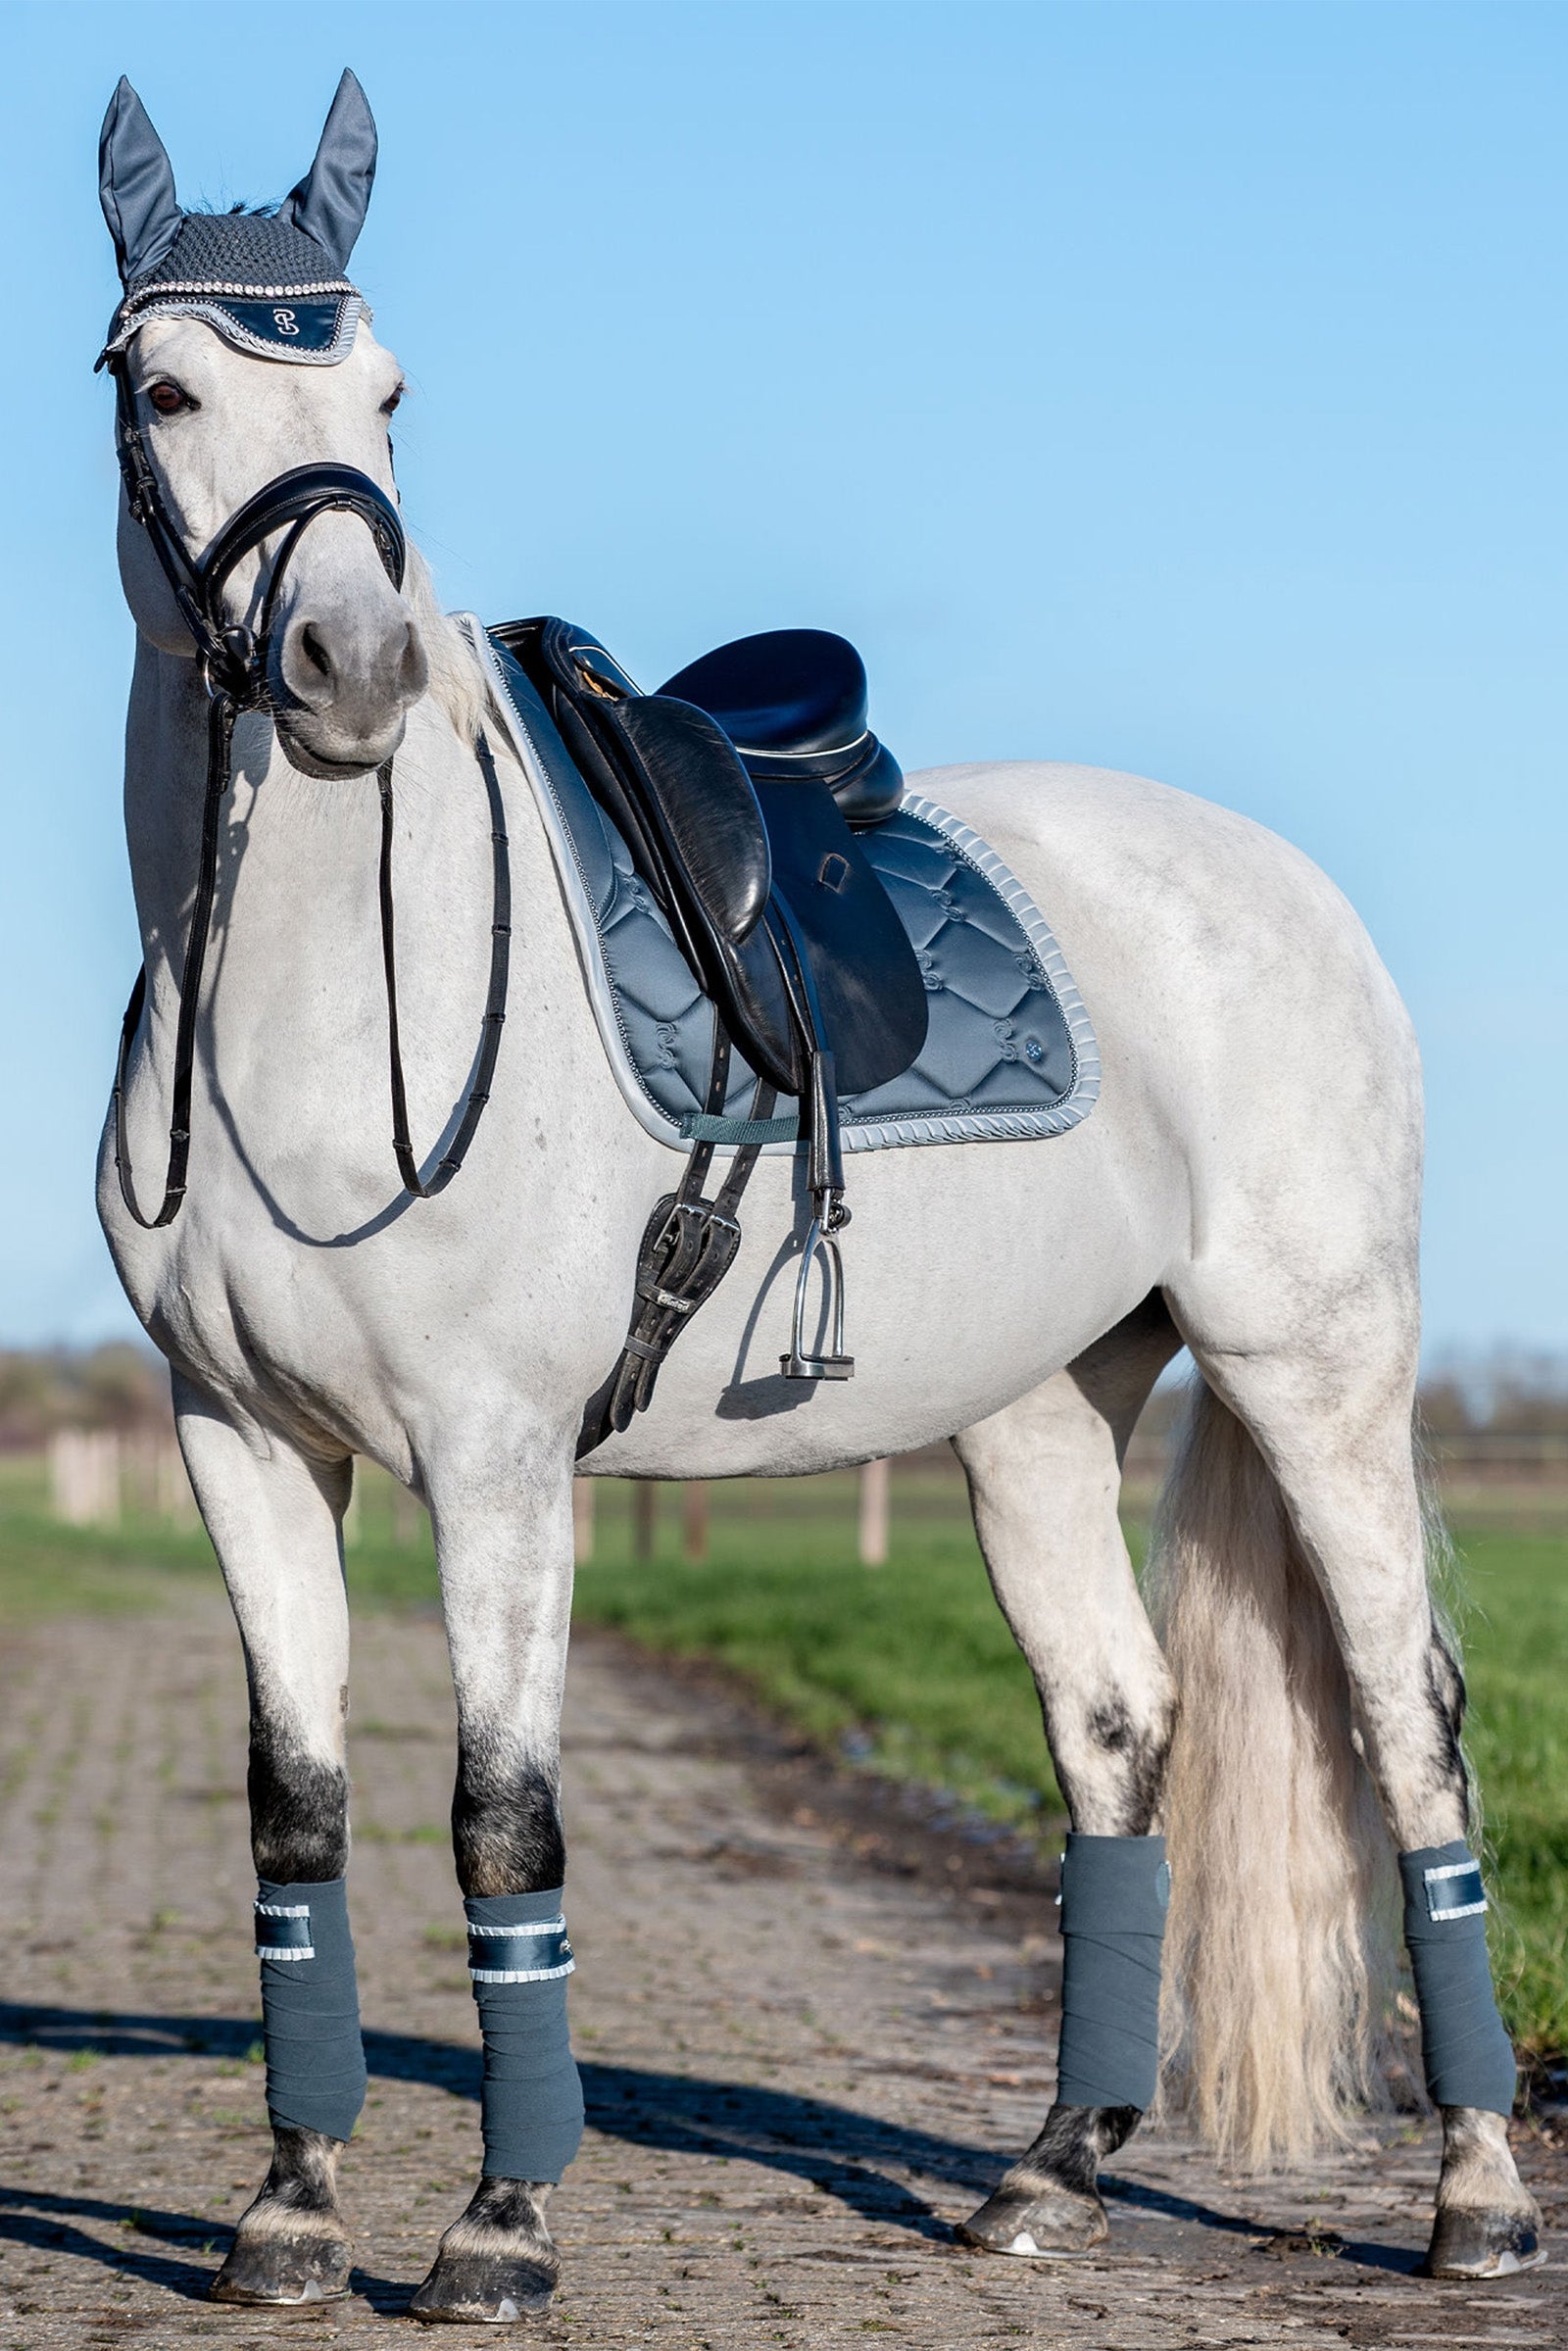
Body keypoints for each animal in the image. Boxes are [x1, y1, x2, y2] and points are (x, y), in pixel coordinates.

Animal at [91, 70, 1542, 2323]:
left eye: (391, 395)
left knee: (1409, 1726)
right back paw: (1051, 2168)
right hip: (1041, 1412)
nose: (345, 668)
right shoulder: (238, 1436)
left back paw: (1474, 2194)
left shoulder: (498, 1458)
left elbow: (501, 1821)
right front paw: (291, 2210)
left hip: (1314, 1364)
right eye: (160, 386)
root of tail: (1278, 881)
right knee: (1117, 1728)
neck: (305, 1010)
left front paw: (498, 2225)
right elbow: (298, 1819)